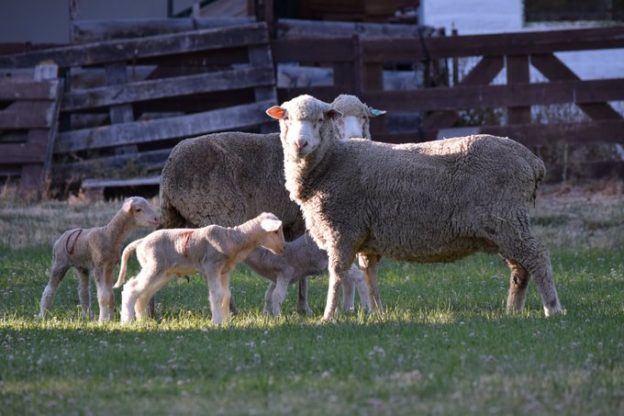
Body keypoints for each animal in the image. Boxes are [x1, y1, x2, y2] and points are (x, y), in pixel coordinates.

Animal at [114, 211, 286, 324]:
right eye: (276, 231)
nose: (283, 248)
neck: (231, 238)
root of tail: (140, 241)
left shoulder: (224, 271)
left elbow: (226, 295)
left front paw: (226, 321)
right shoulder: (211, 266)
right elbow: (216, 294)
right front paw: (217, 322)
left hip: (163, 272)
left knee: (143, 294)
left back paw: (143, 320)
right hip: (154, 266)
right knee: (131, 288)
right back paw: (127, 321)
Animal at [266, 95, 564, 322]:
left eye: (320, 120)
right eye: (286, 119)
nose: (300, 144)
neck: (329, 164)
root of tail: (532, 161)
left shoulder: (343, 229)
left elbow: (337, 274)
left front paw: (328, 316)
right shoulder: (365, 237)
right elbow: (369, 274)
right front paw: (377, 312)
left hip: (507, 219)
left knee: (537, 257)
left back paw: (552, 308)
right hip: (503, 225)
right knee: (519, 268)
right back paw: (513, 311)